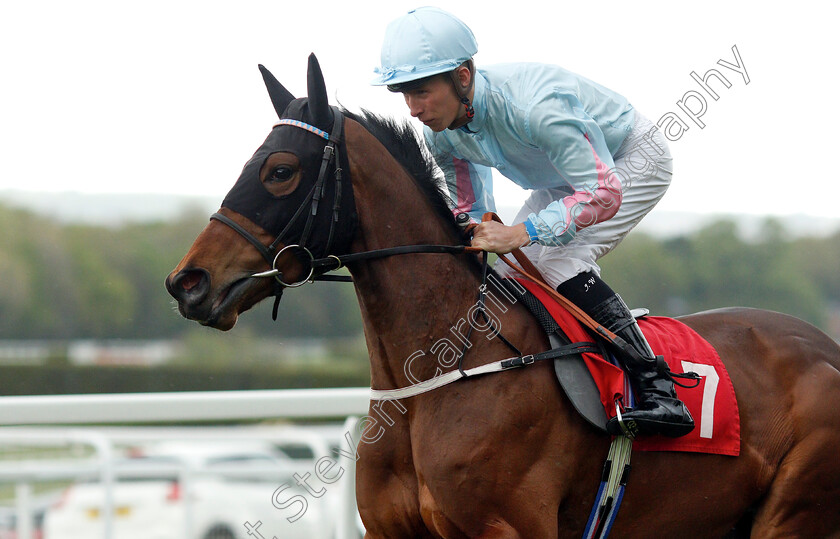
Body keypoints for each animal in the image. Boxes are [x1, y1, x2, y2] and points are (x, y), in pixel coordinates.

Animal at [166, 56, 840, 539]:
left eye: (279, 170)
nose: (187, 282)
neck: (430, 383)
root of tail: (825, 345)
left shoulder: (511, 527)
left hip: (794, 514)